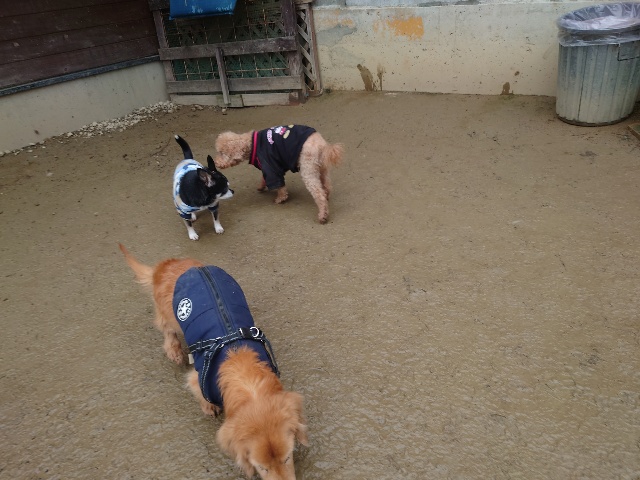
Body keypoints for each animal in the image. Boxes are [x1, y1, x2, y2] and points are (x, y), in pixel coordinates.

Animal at [119, 244, 308, 479]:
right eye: (261, 467)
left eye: (288, 457)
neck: (244, 374)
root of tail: (165, 265)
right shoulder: (198, 379)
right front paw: (208, 407)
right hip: (169, 315)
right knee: (166, 329)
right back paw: (174, 351)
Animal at [214, 125, 343, 224]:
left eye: (221, 153)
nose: (215, 162)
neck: (251, 143)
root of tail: (322, 145)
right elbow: (264, 178)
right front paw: (261, 186)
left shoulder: (270, 166)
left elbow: (278, 185)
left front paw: (280, 198)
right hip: (322, 169)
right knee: (327, 186)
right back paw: (326, 198)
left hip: (308, 169)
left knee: (319, 193)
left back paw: (323, 215)